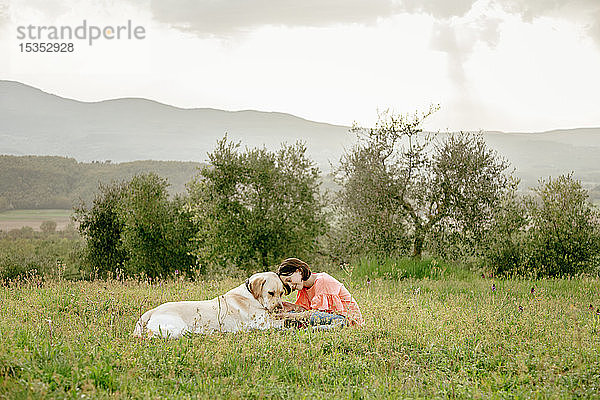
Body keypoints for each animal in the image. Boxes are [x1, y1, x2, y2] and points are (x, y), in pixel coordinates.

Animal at [133, 272, 286, 338]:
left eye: (282, 293)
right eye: (271, 293)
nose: (279, 308)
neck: (250, 294)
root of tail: (153, 310)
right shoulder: (262, 323)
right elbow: (282, 322)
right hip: (177, 327)